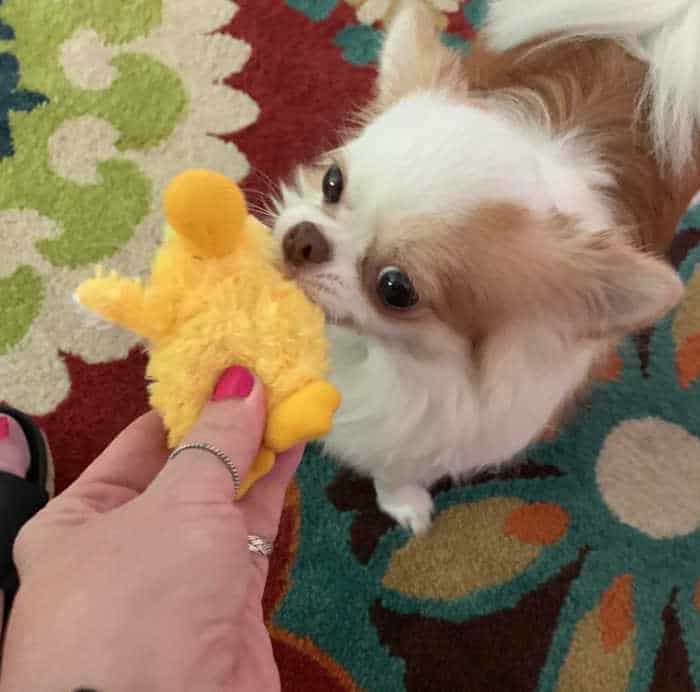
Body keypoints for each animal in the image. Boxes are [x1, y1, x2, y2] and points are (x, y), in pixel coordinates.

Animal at [274, 0, 700, 532]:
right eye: (332, 182)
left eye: (396, 289)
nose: (302, 240)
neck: (378, 356)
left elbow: (398, 462)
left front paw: (402, 502)